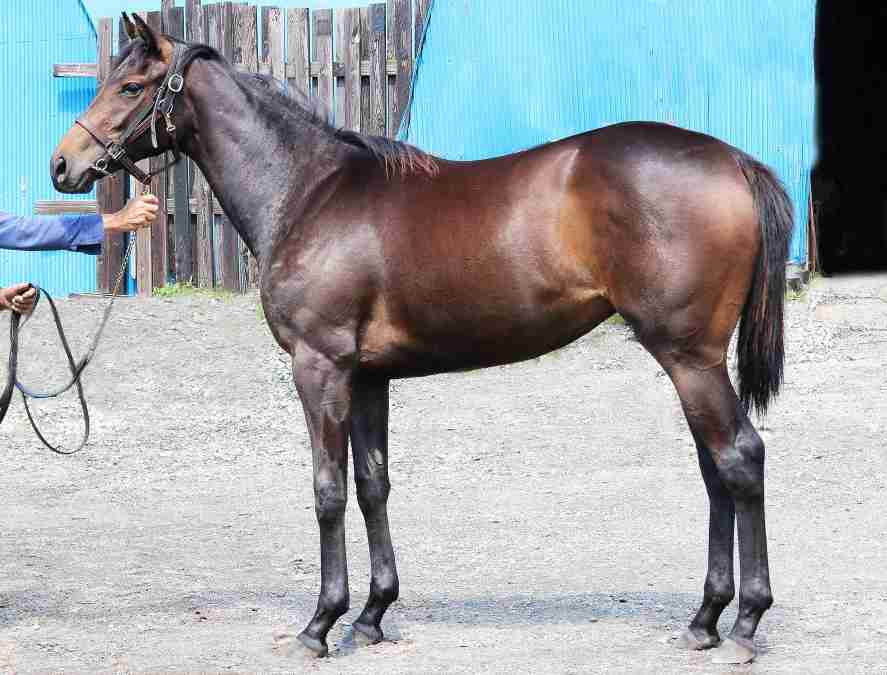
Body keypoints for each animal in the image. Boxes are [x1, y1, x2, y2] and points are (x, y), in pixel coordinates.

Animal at [50, 14, 792, 664]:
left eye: (131, 86)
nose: (63, 165)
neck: (307, 193)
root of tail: (733, 160)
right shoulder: (367, 376)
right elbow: (373, 484)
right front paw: (372, 616)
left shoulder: (319, 368)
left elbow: (327, 490)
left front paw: (319, 624)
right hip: (690, 361)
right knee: (715, 470)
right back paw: (703, 620)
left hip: (688, 357)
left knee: (739, 458)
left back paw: (744, 624)